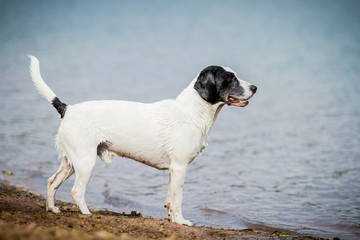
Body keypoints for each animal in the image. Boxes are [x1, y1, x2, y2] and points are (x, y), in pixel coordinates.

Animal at [29, 55, 258, 226]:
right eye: (229, 78)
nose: (255, 87)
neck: (190, 112)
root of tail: (67, 108)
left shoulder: (174, 171)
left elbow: (169, 198)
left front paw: (171, 219)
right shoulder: (180, 168)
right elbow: (178, 199)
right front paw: (181, 221)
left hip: (70, 163)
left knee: (51, 182)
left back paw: (52, 209)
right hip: (85, 163)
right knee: (76, 191)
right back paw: (86, 214)